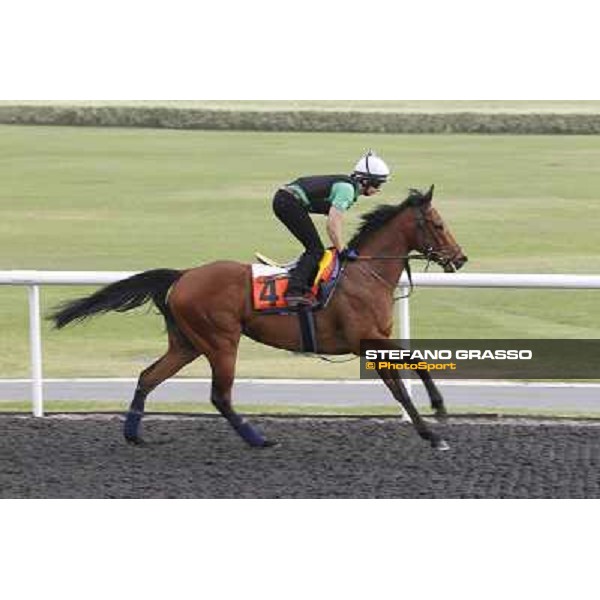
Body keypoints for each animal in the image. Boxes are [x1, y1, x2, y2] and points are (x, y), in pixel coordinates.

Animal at [49, 185, 466, 452]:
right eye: (438, 224)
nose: (460, 258)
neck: (364, 273)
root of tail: (184, 275)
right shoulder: (365, 338)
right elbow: (413, 367)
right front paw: (439, 415)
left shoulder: (373, 340)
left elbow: (401, 383)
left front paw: (432, 429)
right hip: (221, 341)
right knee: (219, 395)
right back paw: (259, 438)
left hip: (187, 344)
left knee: (148, 377)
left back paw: (134, 435)